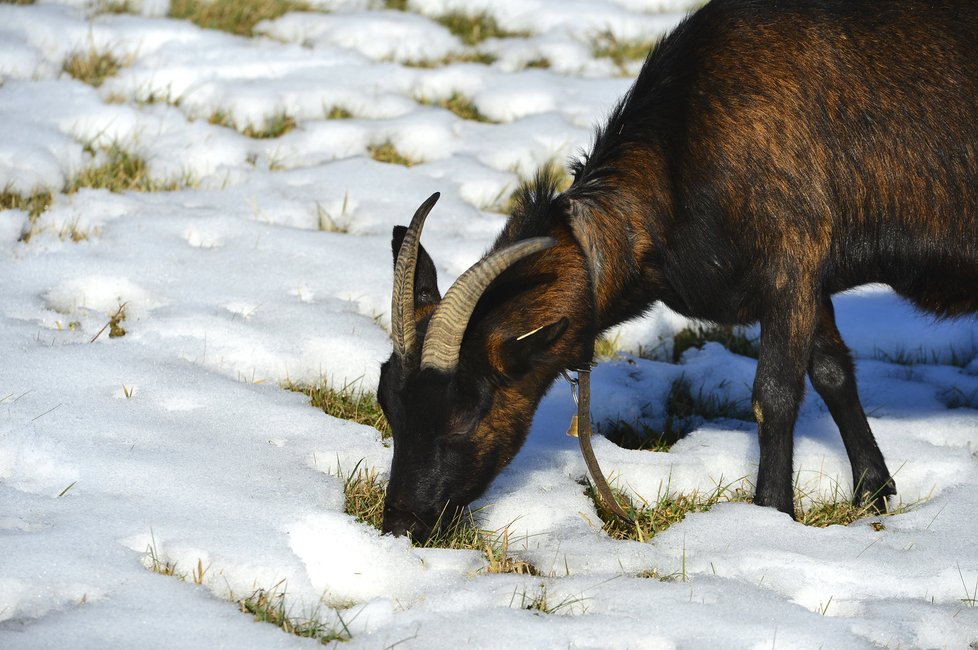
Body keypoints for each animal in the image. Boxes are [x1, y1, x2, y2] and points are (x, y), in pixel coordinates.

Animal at [374, 0, 976, 540]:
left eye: (465, 411)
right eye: (388, 404)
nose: (402, 524)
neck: (678, 159)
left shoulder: (791, 262)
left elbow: (775, 394)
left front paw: (770, 513)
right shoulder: (810, 279)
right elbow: (832, 371)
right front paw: (874, 491)